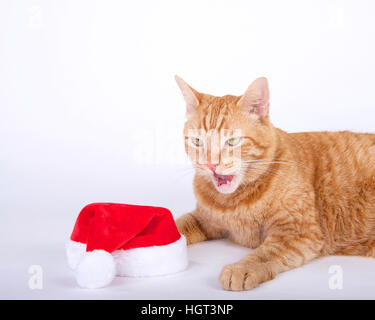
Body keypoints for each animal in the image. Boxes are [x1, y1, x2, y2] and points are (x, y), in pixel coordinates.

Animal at [175, 75, 375, 290]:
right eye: (197, 141)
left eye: (233, 141)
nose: (210, 164)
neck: (233, 204)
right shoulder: (203, 219)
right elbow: (177, 224)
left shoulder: (297, 231)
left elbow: (265, 253)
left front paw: (241, 269)